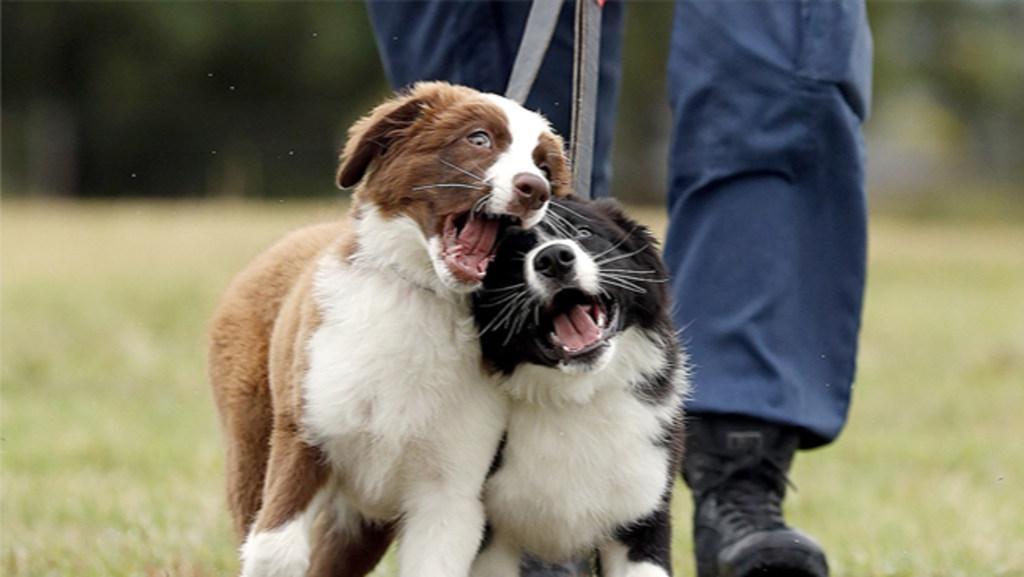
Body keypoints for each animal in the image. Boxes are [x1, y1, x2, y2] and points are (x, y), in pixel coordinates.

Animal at [208, 83, 573, 577]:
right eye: (479, 139)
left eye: (543, 165)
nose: (535, 189)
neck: (424, 297)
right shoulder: (306, 434)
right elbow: (276, 552)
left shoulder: (450, 490)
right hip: (250, 436)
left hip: (360, 522)